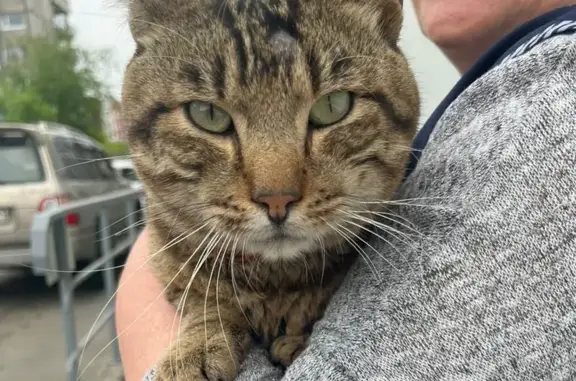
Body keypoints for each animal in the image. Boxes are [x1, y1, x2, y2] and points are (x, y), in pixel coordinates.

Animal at [121, 0, 418, 378]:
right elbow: (204, 301)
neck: (273, 280)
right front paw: (194, 349)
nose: (277, 199)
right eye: (207, 114)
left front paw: (296, 339)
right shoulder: (167, 257)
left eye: (333, 106)